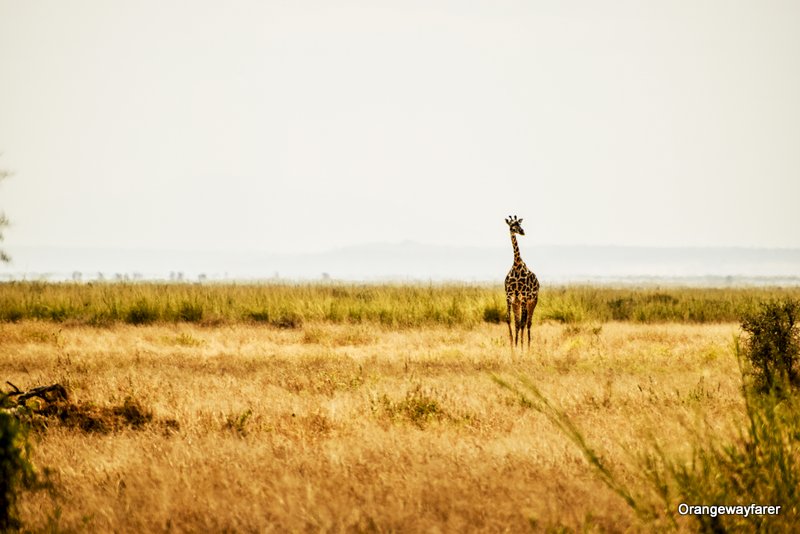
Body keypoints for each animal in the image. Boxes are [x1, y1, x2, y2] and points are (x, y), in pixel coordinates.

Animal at [504, 216, 540, 350]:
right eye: (512, 226)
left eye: (519, 224)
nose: (522, 231)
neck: (517, 265)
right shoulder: (510, 296)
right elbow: (510, 320)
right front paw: (512, 347)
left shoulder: (524, 297)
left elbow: (523, 322)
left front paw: (522, 348)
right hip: (517, 303)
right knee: (518, 323)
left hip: (532, 301)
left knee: (528, 322)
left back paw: (528, 347)